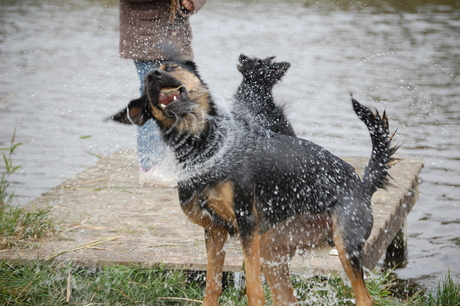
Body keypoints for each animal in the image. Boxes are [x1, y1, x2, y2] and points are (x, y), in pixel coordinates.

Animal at [110, 55, 396, 306]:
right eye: (146, 82)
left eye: (170, 67)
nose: (151, 75)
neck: (202, 146)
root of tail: (362, 185)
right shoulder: (215, 230)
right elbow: (213, 285)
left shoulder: (246, 222)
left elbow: (253, 289)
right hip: (273, 247)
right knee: (286, 298)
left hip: (346, 247)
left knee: (365, 299)